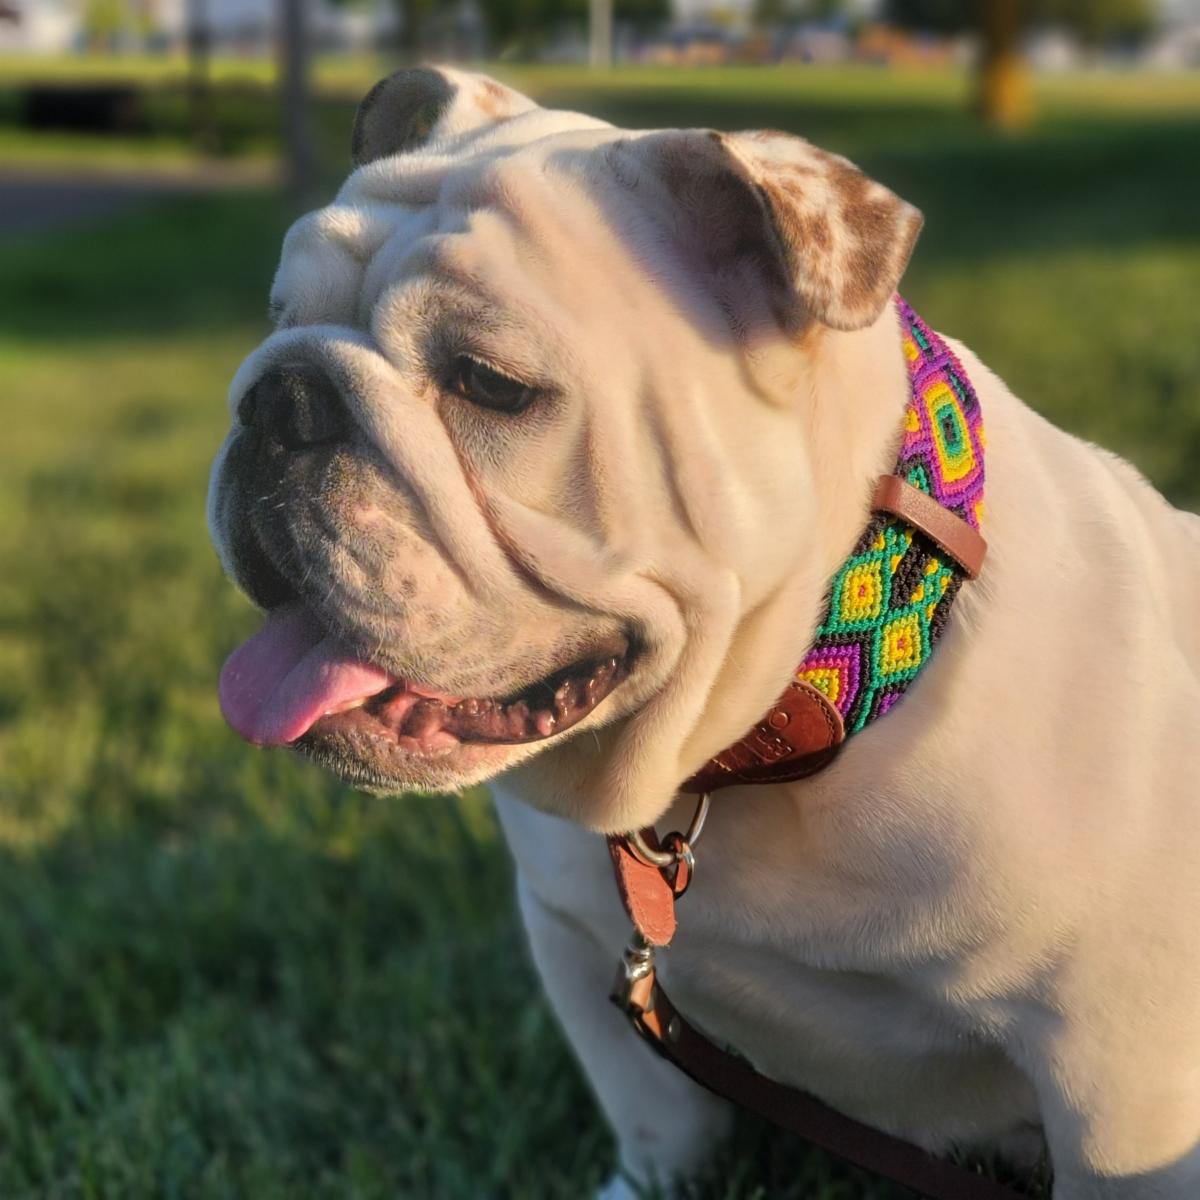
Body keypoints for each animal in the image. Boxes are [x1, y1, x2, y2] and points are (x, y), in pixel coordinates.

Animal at [208, 67, 1200, 1200]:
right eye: (279, 317)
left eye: (490, 384)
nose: (278, 397)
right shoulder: (577, 942)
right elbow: (657, 1124)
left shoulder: (1117, 1077)